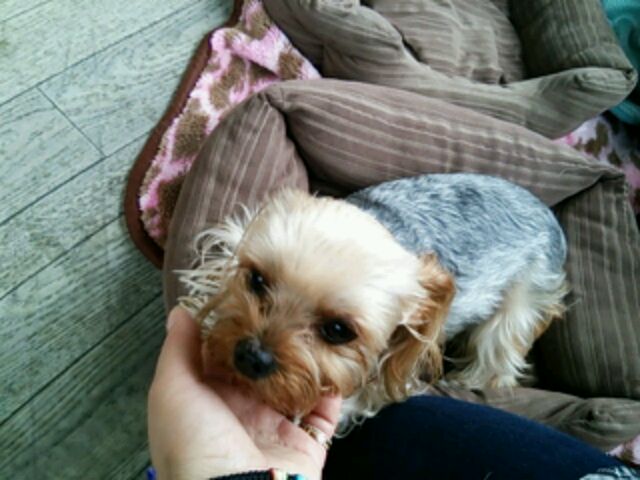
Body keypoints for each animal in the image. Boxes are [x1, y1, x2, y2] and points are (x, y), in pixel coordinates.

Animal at [179, 173, 567, 427]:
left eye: (338, 331)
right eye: (257, 280)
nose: (251, 356)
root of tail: (550, 216)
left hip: (520, 300)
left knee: (498, 357)